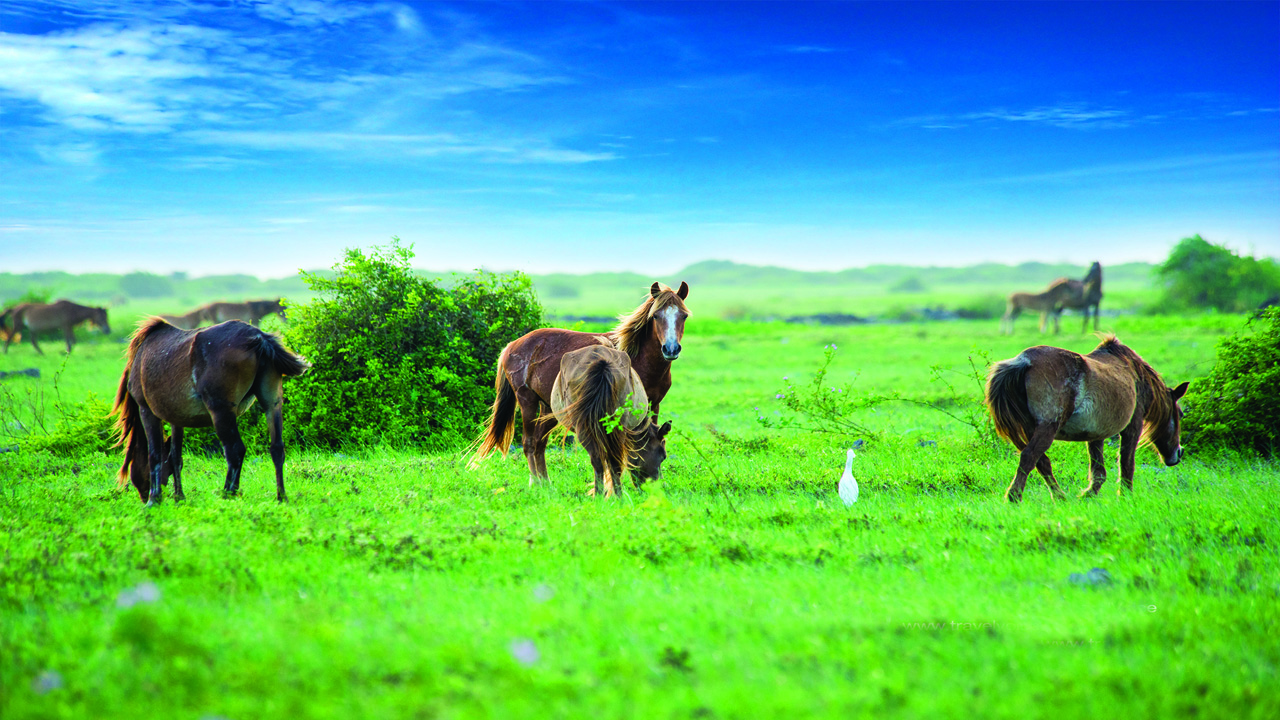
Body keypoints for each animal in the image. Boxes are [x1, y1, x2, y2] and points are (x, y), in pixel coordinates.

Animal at [112, 318, 310, 506]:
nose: (143, 496)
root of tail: (259, 338)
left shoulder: (146, 410)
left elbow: (154, 455)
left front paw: (155, 500)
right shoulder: (177, 418)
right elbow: (176, 456)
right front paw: (179, 497)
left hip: (221, 411)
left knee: (235, 450)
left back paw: (227, 494)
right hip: (271, 403)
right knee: (277, 449)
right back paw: (281, 497)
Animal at [548, 344, 672, 496]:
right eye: (663, 455)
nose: (657, 487)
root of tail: (600, 361)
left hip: (584, 428)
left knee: (600, 461)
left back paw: (603, 495)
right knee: (612, 462)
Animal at [985, 335, 1188, 503]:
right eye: (1181, 414)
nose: (1178, 453)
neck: (1135, 375)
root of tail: (1024, 362)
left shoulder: (1096, 433)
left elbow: (1099, 471)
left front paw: (1088, 495)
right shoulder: (1132, 427)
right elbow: (1126, 464)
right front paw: (1125, 496)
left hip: (1029, 430)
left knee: (1041, 462)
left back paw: (1059, 497)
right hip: (1047, 428)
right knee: (1029, 457)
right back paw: (1014, 497)